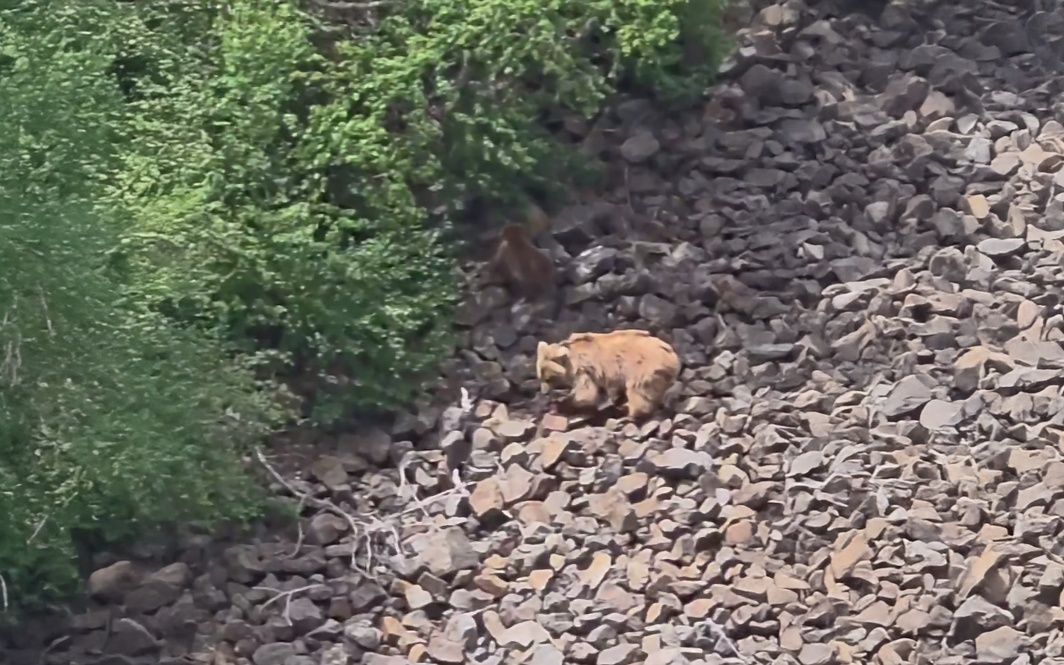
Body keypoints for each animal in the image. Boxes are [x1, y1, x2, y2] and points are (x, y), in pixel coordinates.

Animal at [535, 329, 681, 420]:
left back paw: (629, 415)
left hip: (643, 367)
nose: (544, 392)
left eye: (548, 378)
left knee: (638, 391)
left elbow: (585, 394)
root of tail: (671, 354)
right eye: (540, 377)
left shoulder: (583, 369)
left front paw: (560, 406)